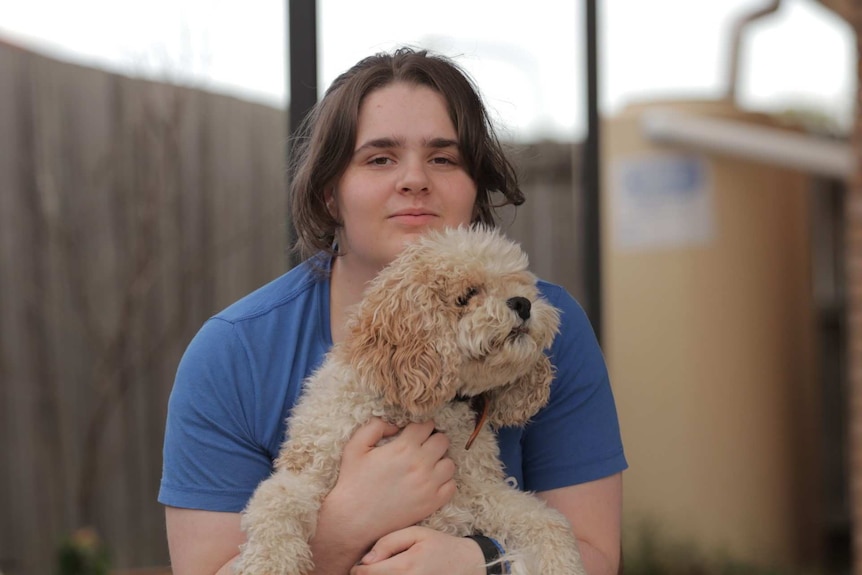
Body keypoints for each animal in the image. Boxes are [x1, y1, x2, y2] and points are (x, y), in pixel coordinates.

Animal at [236, 226, 588, 575]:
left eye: (519, 284)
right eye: (467, 295)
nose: (522, 303)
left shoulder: (477, 490)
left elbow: (547, 521)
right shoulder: (310, 468)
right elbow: (276, 503)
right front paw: (268, 563)